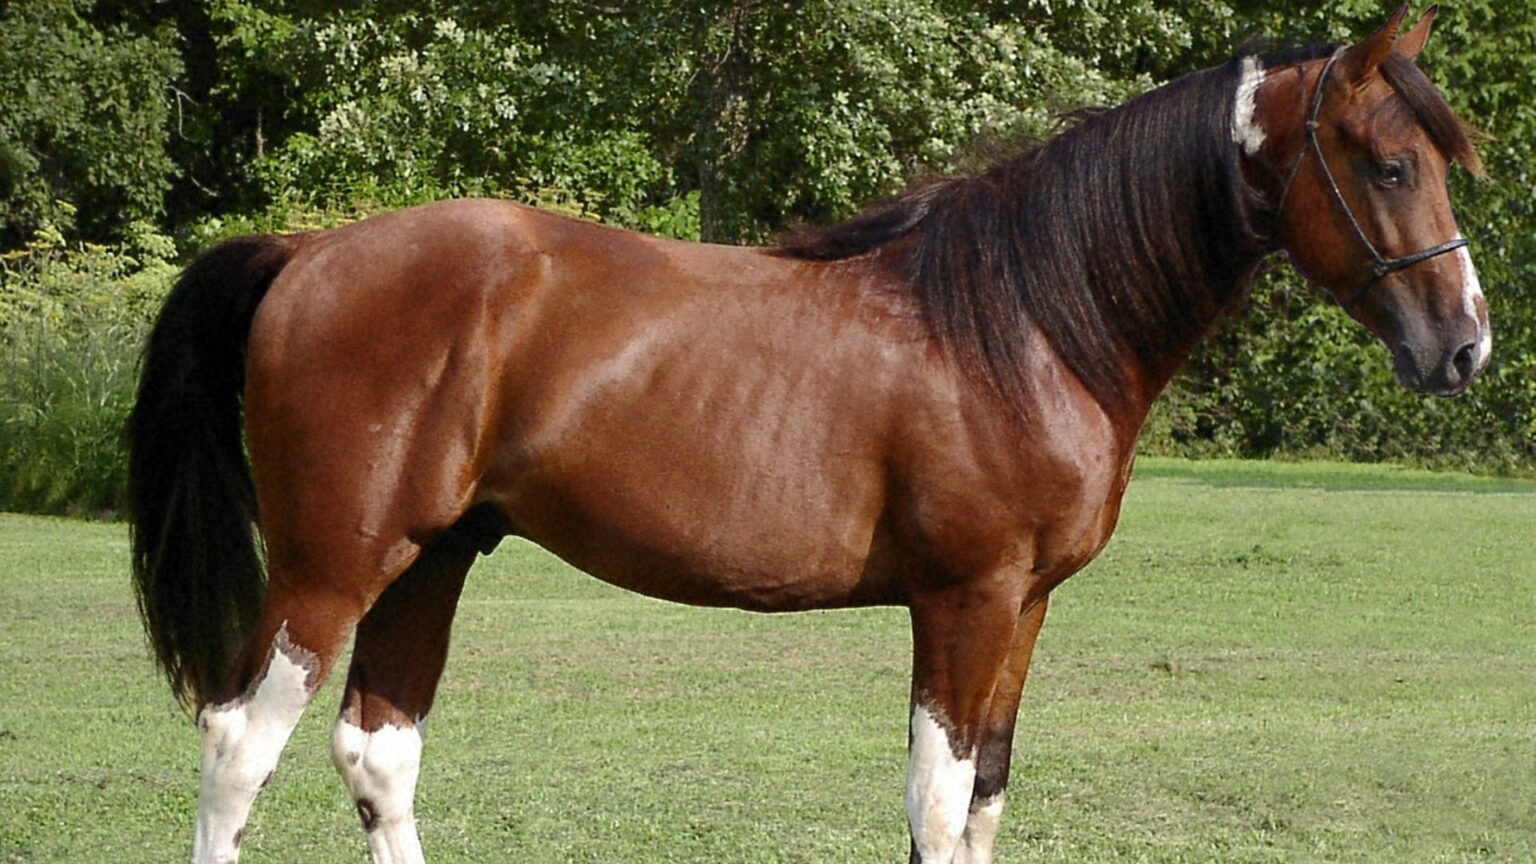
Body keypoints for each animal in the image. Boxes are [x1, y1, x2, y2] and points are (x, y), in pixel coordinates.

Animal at [127, 7, 1488, 863]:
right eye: (1384, 164)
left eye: (1437, 160)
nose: (1465, 344)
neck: (1026, 317)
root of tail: (311, 250)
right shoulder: (964, 600)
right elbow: (937, 804)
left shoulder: (1027, 607)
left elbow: (986, 801)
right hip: (333, 565)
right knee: (239, 745)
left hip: (436, 557)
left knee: (377, 751)